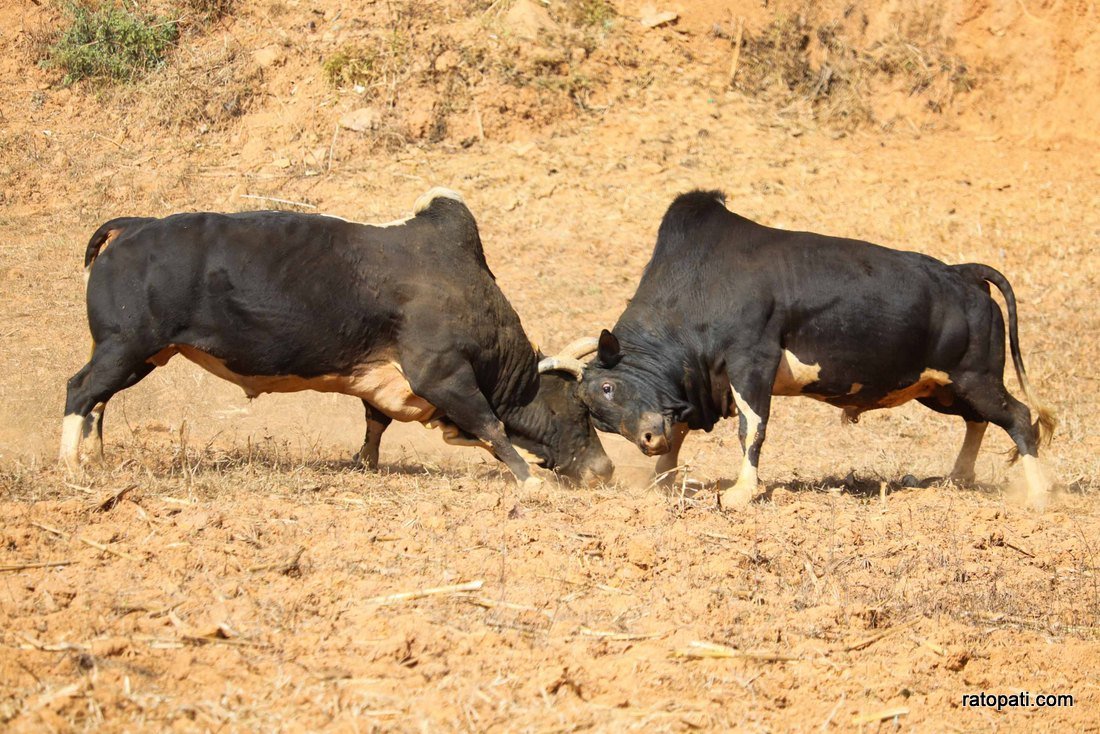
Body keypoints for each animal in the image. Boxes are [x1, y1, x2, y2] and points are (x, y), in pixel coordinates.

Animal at [62, 189, 611, 488]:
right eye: (579, 409)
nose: (604, 470)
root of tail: (133, 226)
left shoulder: (388, 387)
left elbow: (376, 426)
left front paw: (364, 464)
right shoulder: (443, 376)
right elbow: (492, 427)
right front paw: (532, 484)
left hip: (140, 355)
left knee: (99, 402)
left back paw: (96, 457)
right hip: (124, 347)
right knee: (80, 391)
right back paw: (71, 463)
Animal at [572, 192, 1051, 508]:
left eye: (610, 387)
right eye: (599, 417)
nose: (648, 441)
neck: (699, 284)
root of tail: (964, 273)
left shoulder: (752, 361)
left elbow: (752, 429)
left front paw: (741, 492)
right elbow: (683, 431)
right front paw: (662, 479)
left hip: (977, 379)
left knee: (1020, 418)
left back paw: (1038, 494)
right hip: (942, 388)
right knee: (979, 421)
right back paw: (958, 478)